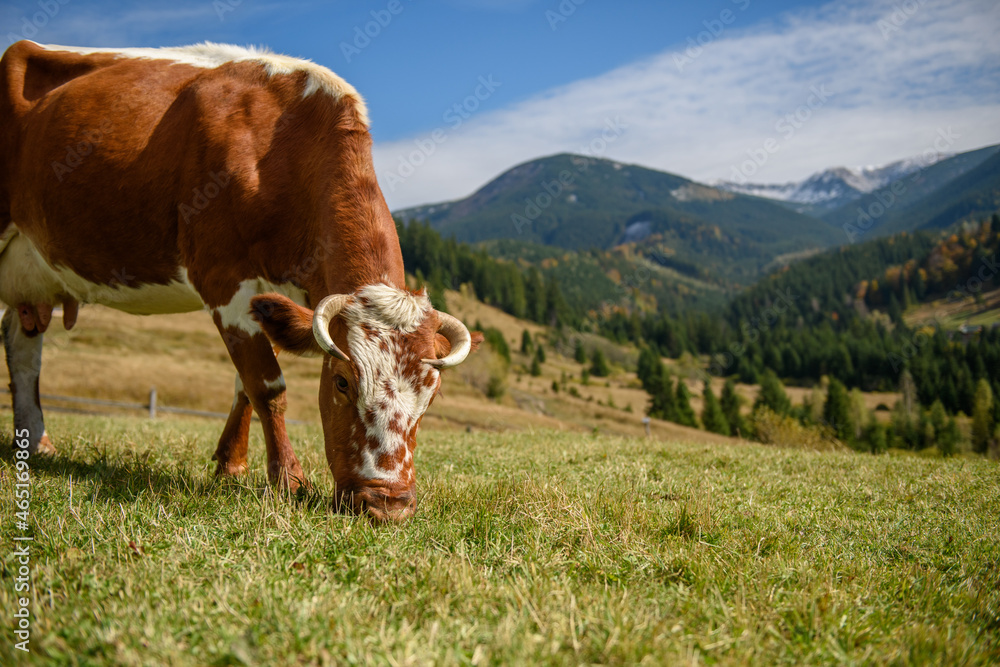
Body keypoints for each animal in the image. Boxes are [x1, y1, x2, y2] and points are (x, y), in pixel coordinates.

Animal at [0, 40, 484, 520]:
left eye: (432, 395)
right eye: (342, 382)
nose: (387, 504)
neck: (277, 150)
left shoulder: (274, 298)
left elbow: (244, 385)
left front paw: (230, 465)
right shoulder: (223, 278)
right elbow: (266, 385)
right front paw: (288, 480)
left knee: (22, 344)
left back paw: (36, 443)